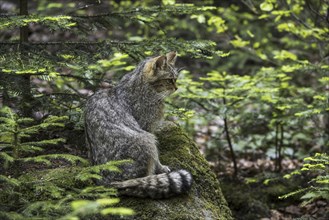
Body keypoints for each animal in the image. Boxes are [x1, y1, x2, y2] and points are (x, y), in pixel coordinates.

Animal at [84, 52, 192, 199]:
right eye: (170, 80)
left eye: (175, 79)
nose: (176, 88)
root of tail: (106, 182)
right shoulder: (147, 127)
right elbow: (156, 159)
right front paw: (161, 167)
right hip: (145, 140)